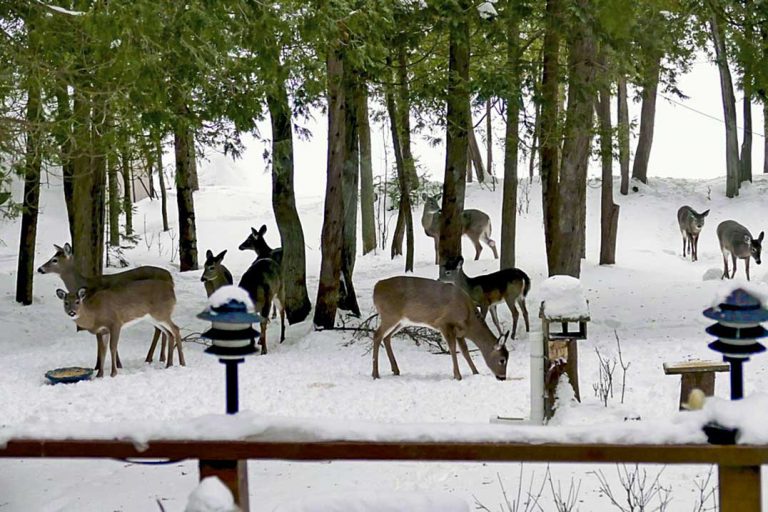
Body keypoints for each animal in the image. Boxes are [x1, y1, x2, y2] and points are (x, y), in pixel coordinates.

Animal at [38, 243, 177, 367]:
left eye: (54, 260)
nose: (40, 269)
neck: (86, 286)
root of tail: (170, 278)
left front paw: (107, 365)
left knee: (161, 328)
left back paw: (153, 357)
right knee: (161, 329)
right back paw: (160, 357)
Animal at [372, 276, 509, 381]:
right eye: (502, 360)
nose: (502, 377)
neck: (469, 320)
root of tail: (376, 287)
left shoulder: (460, 332)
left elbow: (465, 351)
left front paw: (475, 372)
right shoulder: (444, 323)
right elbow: (452, 348)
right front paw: (457, 376)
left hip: (400, 321)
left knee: (386, 337)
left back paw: (395, 370)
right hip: (389, 315)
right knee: (377, 335)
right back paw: (375, 374)